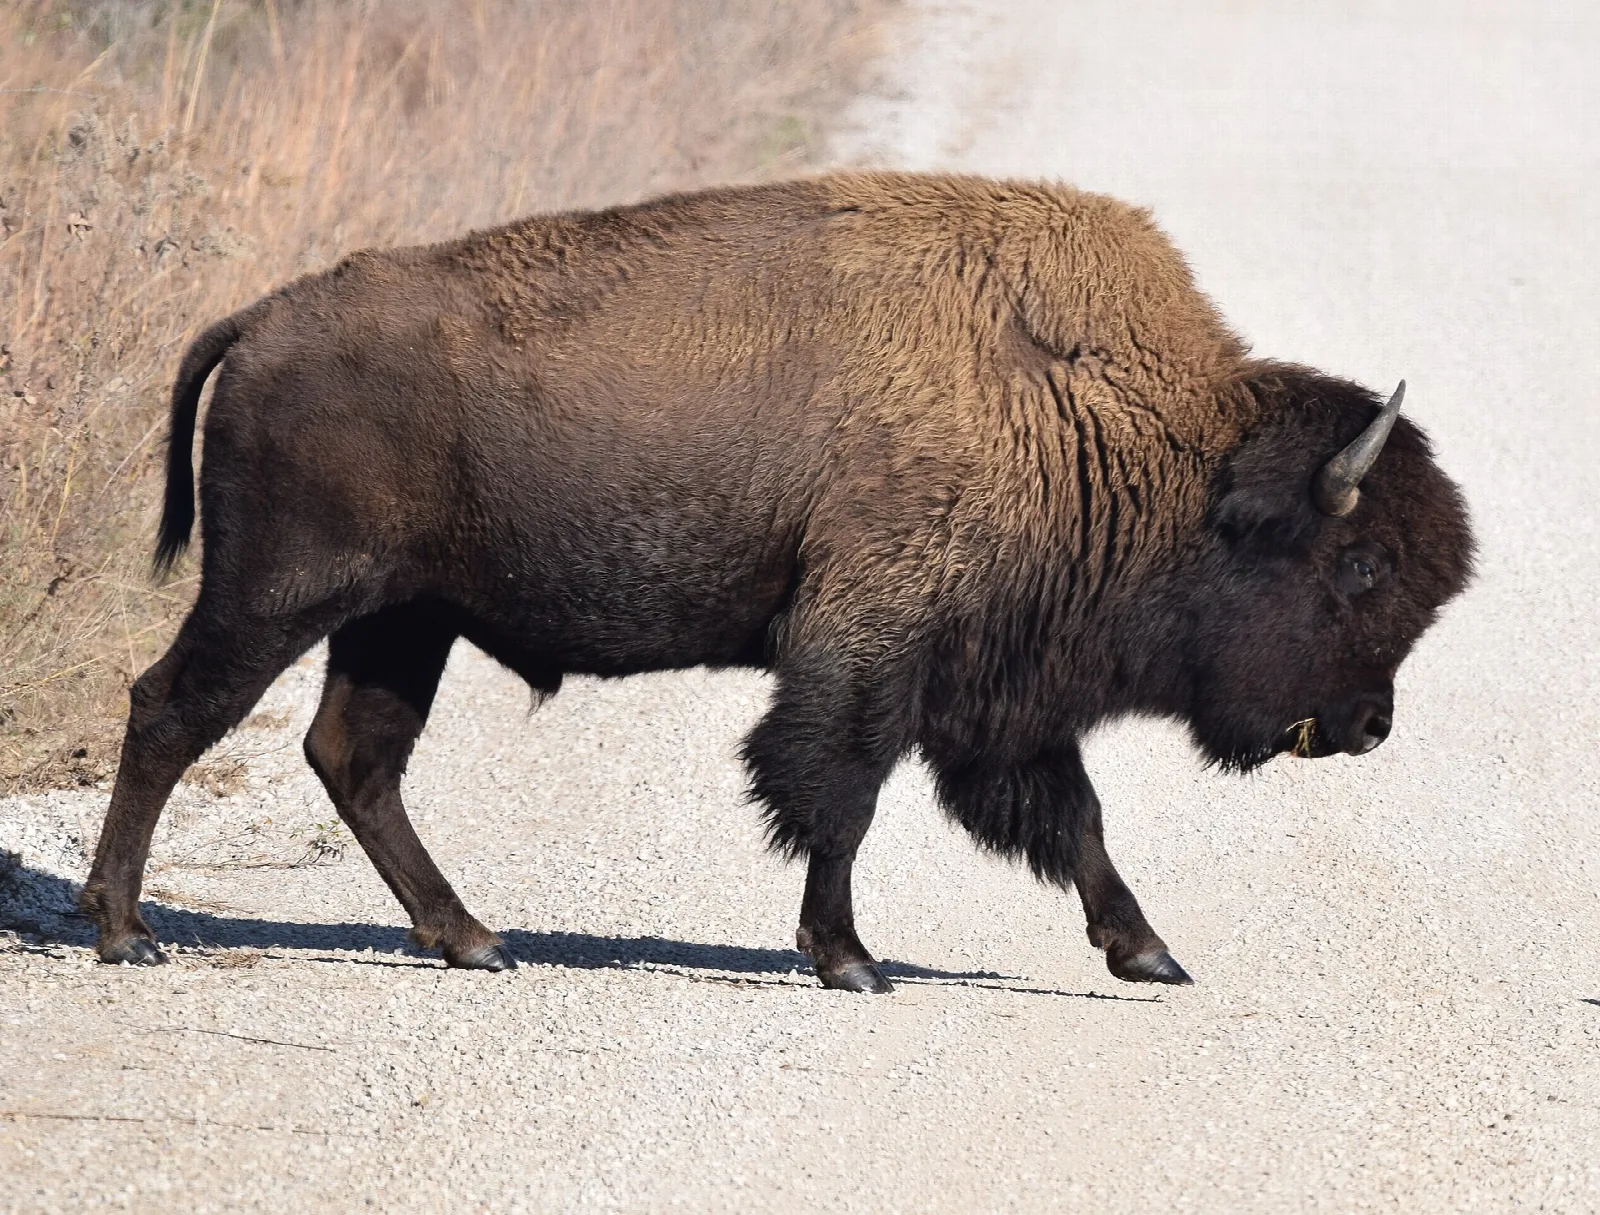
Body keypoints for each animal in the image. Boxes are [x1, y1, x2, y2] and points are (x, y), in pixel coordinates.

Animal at [82, 172, 1474, 990]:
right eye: (1356, 565)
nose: (1368, 725)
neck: (1107, 418)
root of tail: (262, 319)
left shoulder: (1002, 693)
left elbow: (1069, 818)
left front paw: (1148, 953)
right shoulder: (869, 652)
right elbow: (838, 797)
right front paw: (850, 960)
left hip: (398, 621)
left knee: (353, 757)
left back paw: (472, 939)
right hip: (280, 593)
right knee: (173, 710)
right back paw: (123, 930)